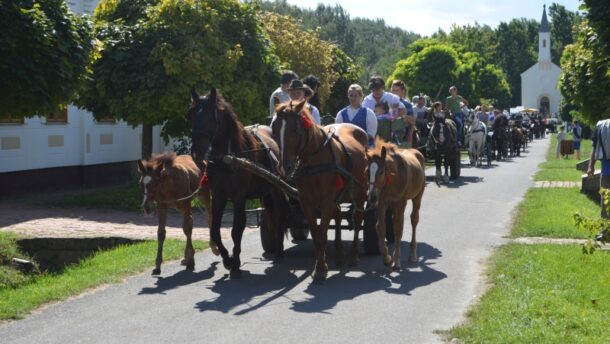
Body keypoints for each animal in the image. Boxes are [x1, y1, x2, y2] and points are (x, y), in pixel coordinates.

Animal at [270, 99, 366, 282]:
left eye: (295, 129)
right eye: (274, 130)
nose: (284, 167)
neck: (314, 159)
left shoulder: (326, 201)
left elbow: (322, 235)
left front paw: (320, 270)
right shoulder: (307, 202)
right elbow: (316, 234)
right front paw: (321, 266)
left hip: (360, 194)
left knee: (357, 220)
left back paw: (355, 255)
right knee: (338, 216)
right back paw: (339, 253)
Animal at [366, 138, 422, 270]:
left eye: (381, 172)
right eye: (367, 172)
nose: (371, 196)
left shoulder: (401, 202)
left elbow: (398, 228)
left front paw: (396, 260)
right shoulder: (382, 203)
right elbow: (380, 227)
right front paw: (387, 259)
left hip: (417, 196)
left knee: (414, 219)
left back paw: (413, 254)